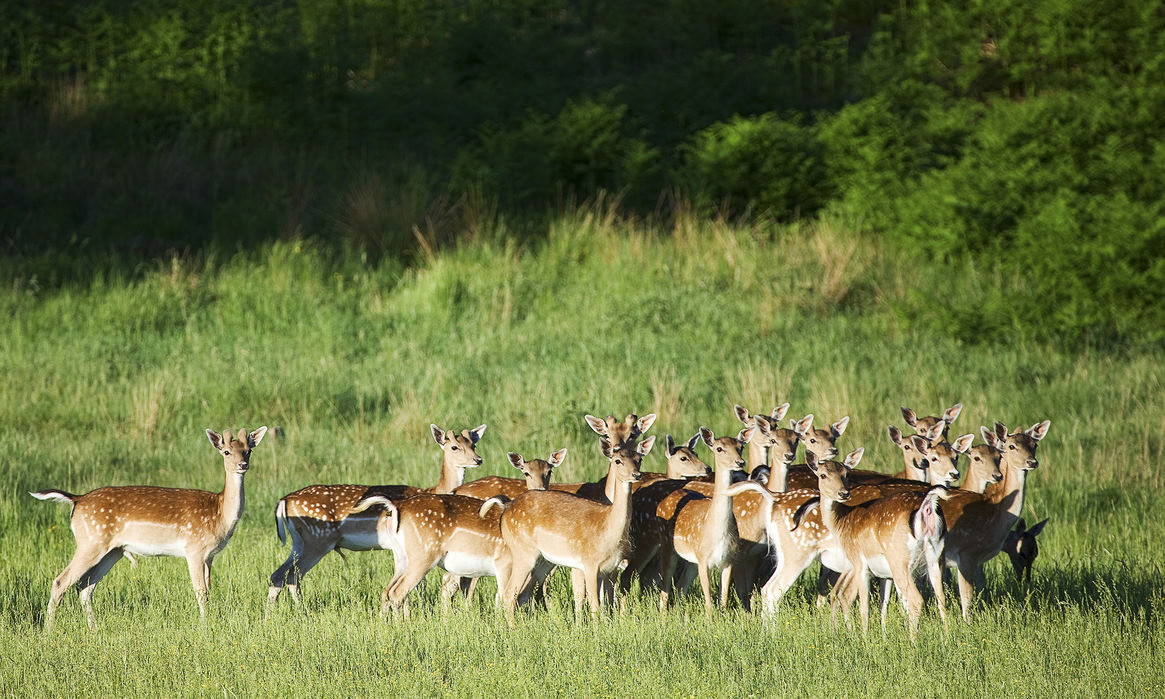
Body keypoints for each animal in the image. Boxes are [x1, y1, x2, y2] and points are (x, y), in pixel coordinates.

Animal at [32, 426, 270, 629]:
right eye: (227, 451)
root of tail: (77, 500)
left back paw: (94, 630)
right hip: (91, 541)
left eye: (248, 450)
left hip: (113, 550)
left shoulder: (210, 555)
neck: (219, 514)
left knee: (85, 586)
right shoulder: (194, 548)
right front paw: (205, 626)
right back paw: (49, 632)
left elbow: (209, 589)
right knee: (61, 581)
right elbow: (200, 591)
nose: (242, 465)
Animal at [267, 419, 486, 605]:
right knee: (293, 576)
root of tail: (285, 500)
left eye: (473, 445)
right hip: (318, 539)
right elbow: (417, 587)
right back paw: (302, 612)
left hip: (299, 541)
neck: (435, 490)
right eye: (454, 447)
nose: (478, 460)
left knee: (278, 575)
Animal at [496, 438, 657, 624]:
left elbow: (607, 605)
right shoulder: (590, 563)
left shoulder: (611, 568)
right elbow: (594, 605)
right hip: (523, 551)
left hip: (544, 561)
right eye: (617, 460)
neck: (608, 529)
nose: (637, 475)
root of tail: (506, 511)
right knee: (509, 594)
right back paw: (513, 629)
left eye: (639, 459)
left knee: (523, 594)